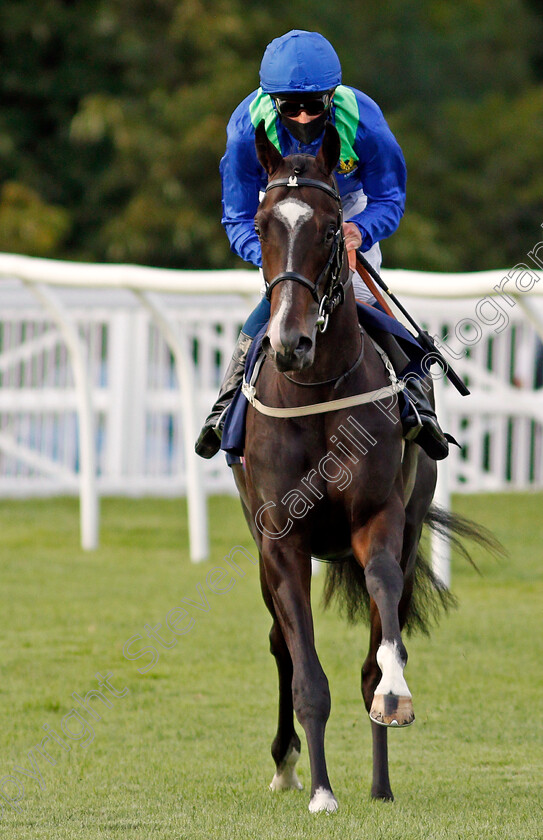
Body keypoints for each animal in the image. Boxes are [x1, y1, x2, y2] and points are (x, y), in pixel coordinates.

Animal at [230, 120, 488, 812]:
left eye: (327, 229)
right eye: (262, 223)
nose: (291, 343)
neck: (316, 391)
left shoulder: (381, 518)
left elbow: (382, 624)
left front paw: (392, 699)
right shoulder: (280, 539)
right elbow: (304, 669)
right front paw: (319, 789)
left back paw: (379, 781)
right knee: (280, 647)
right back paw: (287, 766)